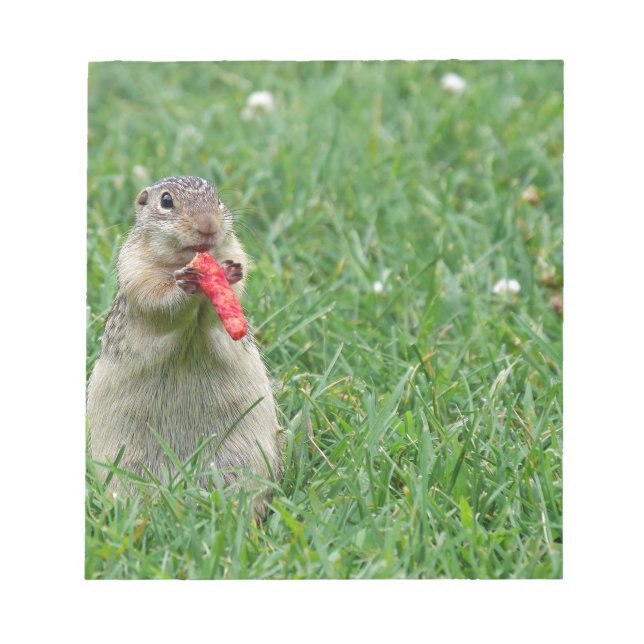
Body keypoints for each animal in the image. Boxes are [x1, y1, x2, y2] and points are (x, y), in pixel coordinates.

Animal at [87, 175, 283, 517]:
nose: (208, 224)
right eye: (166, 201)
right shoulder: (137, 272)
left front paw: (229, 273)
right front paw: (186, 285)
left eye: (218, 198)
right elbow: (159, 301)